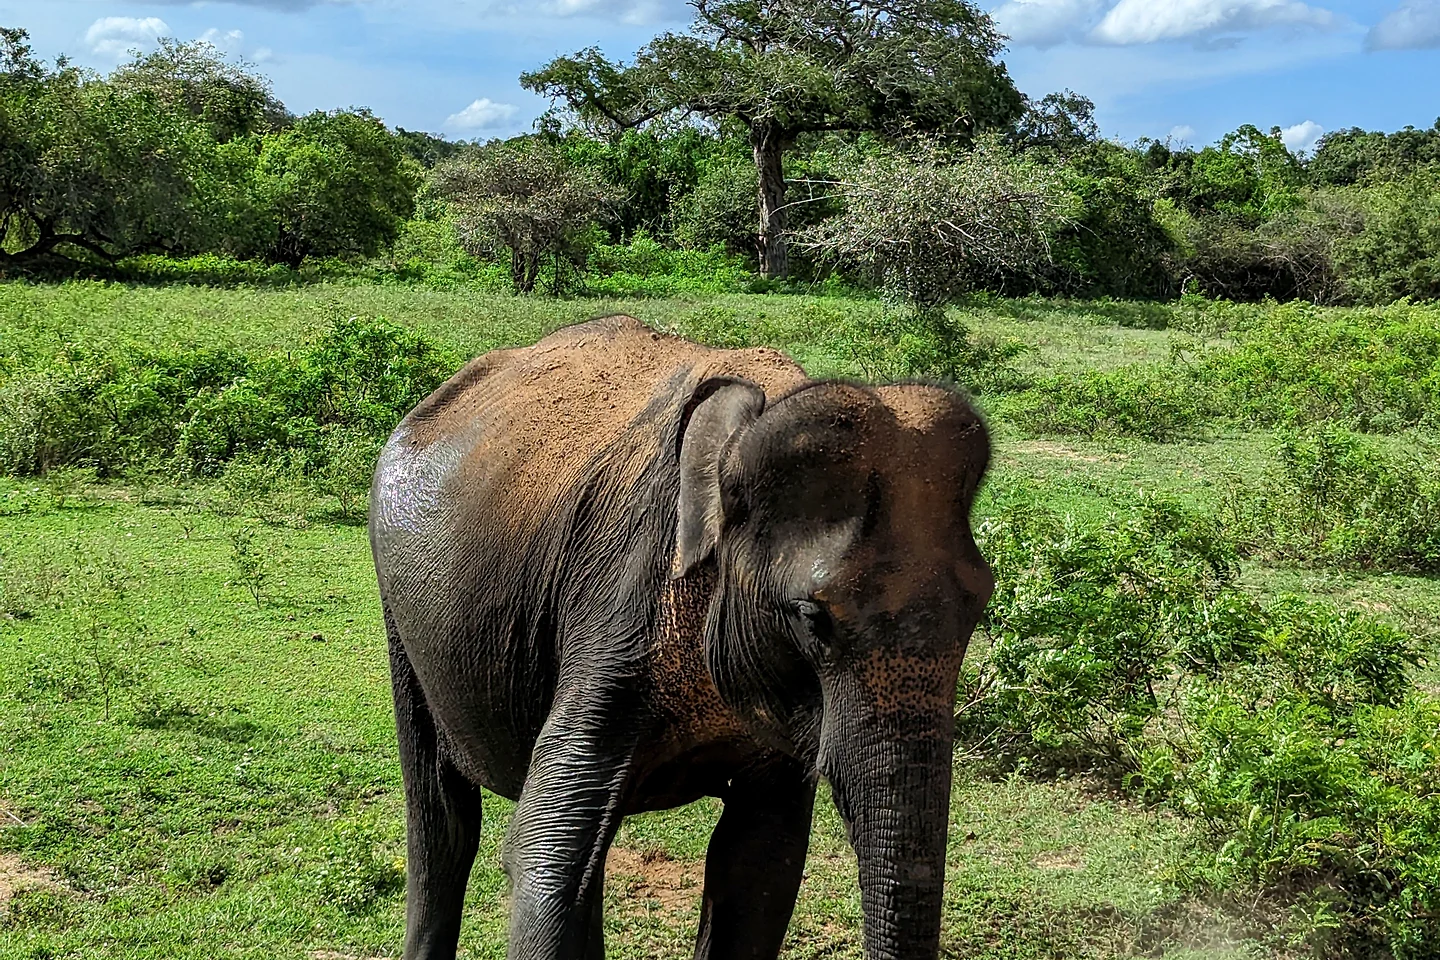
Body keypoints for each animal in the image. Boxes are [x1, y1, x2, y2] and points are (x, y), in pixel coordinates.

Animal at [368, 314, 994, 960]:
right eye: (810, 617)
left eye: (983, 603)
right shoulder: (619, 601)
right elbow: (544, 853)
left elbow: (760, 862)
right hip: (401, 614)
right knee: (443, 820)